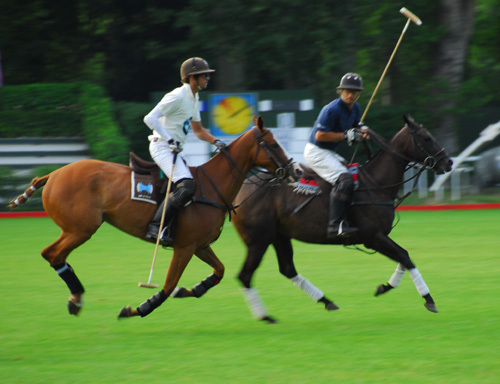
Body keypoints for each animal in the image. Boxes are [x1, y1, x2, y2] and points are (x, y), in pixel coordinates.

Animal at [9, 115, 296, 320]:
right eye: (273, 144)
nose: (292, 170)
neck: (211, 187)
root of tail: (53, 174)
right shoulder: (184, 247)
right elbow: (168, 285)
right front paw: (137, 309)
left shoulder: (199, 245)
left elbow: (219, 271)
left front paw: (191, 290)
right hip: (81, 229)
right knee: (52, 254)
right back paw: (77, 298)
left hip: (75, 228)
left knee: (53, 255)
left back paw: (76, 299)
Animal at [230, 115, 454, 322]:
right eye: (426, 138)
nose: (449, 162)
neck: (376, 184)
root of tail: (240, 191)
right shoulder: (374, 237)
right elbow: (405, 257)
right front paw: (428, 299)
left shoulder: (379, 237)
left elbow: (404, 257)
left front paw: (384, 287)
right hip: (258, 241)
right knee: (245, 275)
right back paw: (265, 316)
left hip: (279, 237)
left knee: (287, 269)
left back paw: (326, 301)